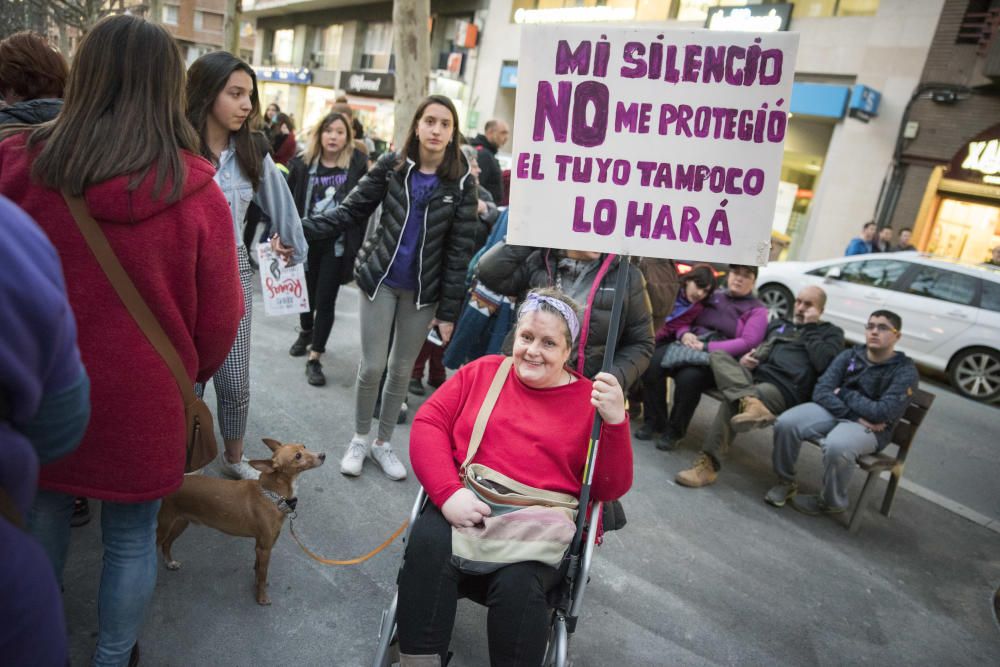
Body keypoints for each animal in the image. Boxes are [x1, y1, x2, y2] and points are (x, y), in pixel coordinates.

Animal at [156, 438, 326, 604]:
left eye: (304, 446)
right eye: (298, 456)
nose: (323, 455)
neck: (272, 495)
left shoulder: (261, 546)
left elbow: (258, 569)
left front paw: (256, 584)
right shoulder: (264, 548)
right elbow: (263, 574)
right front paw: (261, 598)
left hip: (180, 522)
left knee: (167, 543)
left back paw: (169, 562)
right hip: (163, 525)